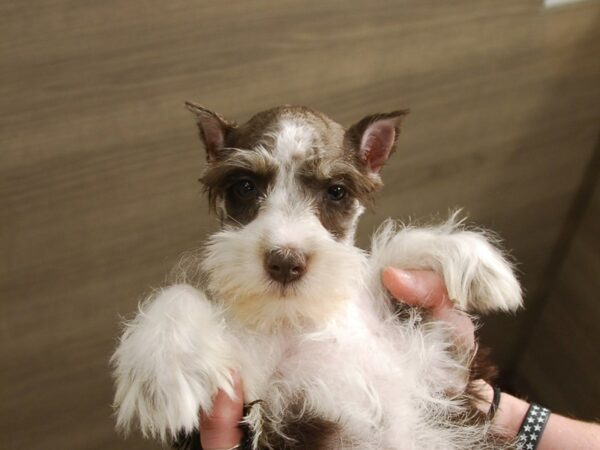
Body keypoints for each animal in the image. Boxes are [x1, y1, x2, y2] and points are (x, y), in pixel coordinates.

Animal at [111, 103, 520, 448]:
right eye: (244, 186)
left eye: (336, 191)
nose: (285, 262)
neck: (299, 318)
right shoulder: (256, 402)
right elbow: (179, 292)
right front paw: (165, 373)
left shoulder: (432, 369)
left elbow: (390, 255)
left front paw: (481, 263)